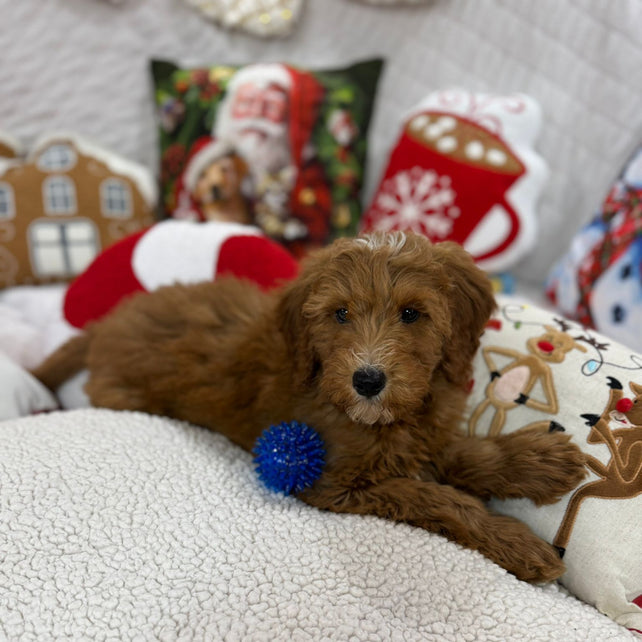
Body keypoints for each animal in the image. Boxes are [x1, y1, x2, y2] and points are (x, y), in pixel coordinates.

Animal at [33, 230, 584, 580]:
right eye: (340, 314)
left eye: (412, 314)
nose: (368, 380)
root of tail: (104, 326)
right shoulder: (333, 483)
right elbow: (435, 496)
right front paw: (515, 541)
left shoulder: (423, 431)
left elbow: (464, 455)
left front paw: (537, 461)